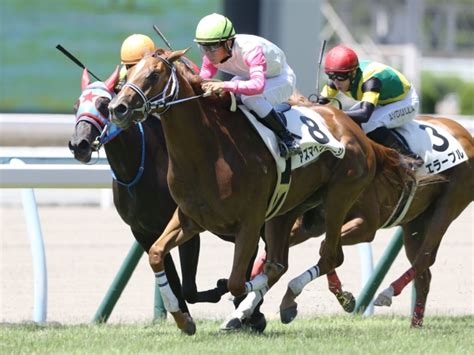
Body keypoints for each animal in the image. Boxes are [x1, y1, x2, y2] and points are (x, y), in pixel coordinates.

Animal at [108, 48, 382, 336]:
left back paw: (286, 300)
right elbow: (156, 254)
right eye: (130, 72)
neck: (209, 152)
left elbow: (237, 282)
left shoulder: (249, 222)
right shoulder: (188, 218)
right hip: (285, 211)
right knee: (284, 262)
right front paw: (183, 319)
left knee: (328, 257)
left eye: (153, 74)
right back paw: (262, 309)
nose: (117, 108)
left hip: (338, 198)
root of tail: (351, 126)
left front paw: (230, 296)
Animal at [276, 114, 472, 328]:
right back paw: (415, 324)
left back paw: (388, 294)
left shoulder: (366, 225)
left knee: (423, 259)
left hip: (449, 204)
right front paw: (344, 297)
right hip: (416, 222)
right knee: (424, 274)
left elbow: (327, 250)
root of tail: (464, 133)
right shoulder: (312, 224)